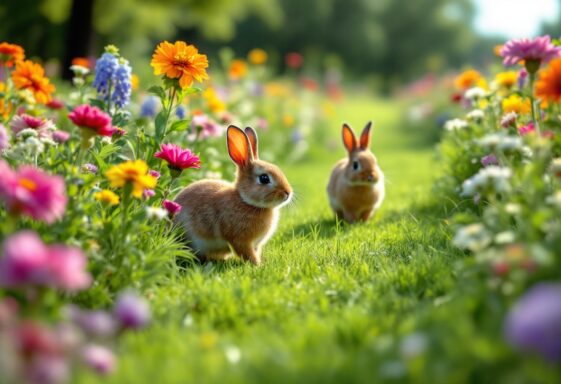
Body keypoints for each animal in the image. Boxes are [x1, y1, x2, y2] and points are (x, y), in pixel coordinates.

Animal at [173, 124, 290, 266]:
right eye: (264, 178)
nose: (288, 193)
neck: (245, 200)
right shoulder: (240, 241)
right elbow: (248, 254)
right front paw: (258, 265)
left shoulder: (256, 245)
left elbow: (256, 252)